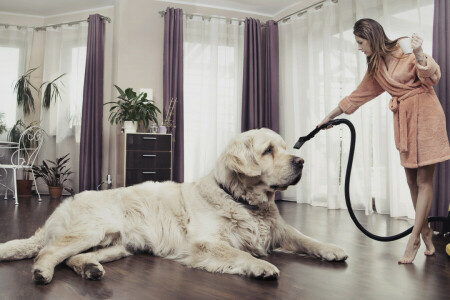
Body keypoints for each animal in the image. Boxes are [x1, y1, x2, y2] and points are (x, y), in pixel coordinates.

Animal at [0, 128, 348, 284]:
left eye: (287, 148)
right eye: (268, 151)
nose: (301, 162)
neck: (244, 202)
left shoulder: (278, 230)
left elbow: (304, 238)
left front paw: (332, 249)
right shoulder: (206, 243)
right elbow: (238, 253)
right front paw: (260, 266)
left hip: (117, 245)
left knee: (73, 258)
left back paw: (89, 268)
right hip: (90, 230)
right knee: (49, 252)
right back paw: (42, 272)